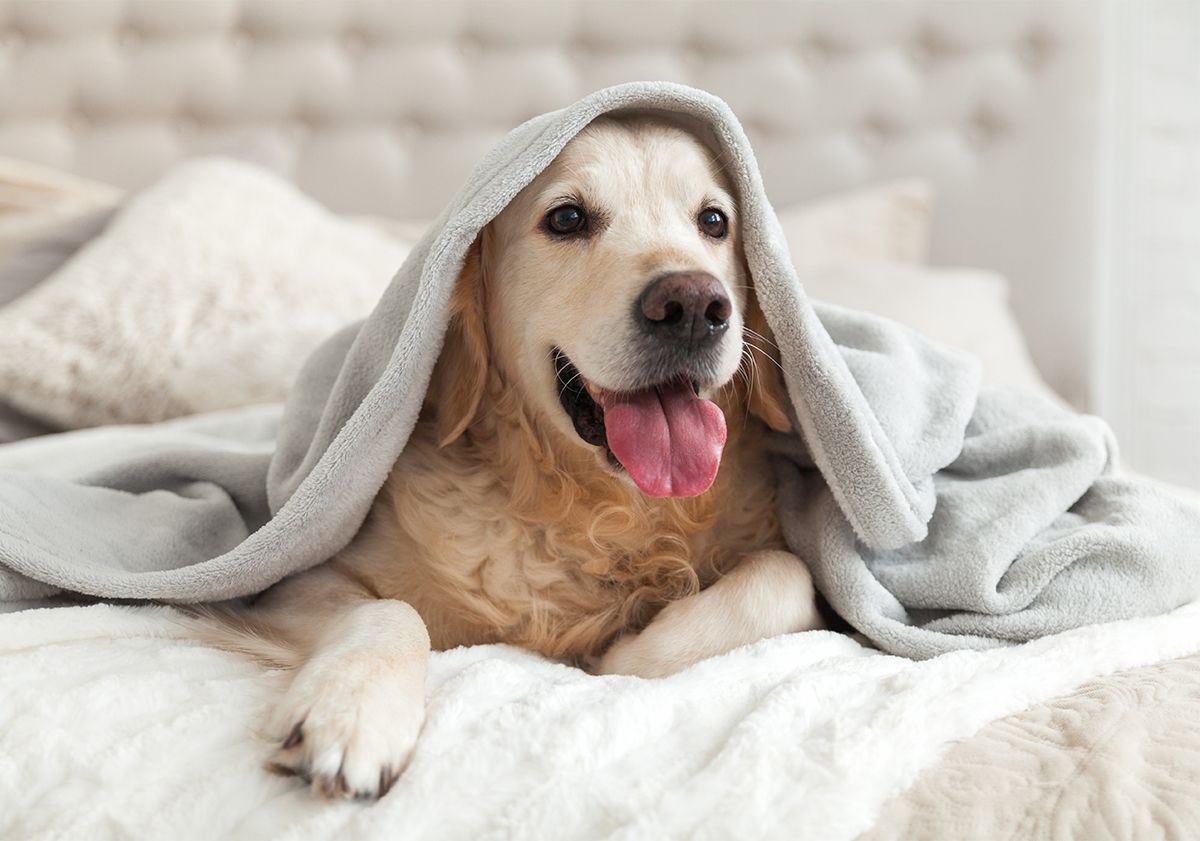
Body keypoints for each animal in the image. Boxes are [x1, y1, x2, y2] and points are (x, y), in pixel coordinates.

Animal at [208, 114, 825, 796]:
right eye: (567, 218)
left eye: (714, 221)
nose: (692, 305)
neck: (596, 510)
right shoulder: (286, 585)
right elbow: (391, 609)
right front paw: (350, 710)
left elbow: (786, 575)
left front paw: (630, 651)